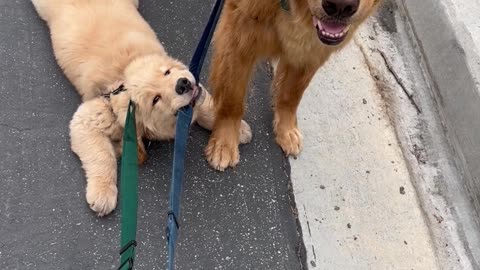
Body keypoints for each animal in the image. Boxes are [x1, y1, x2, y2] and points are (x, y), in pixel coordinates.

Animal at [31, 0, 253, 216]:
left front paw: (235, 130)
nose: (182, 84)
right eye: (156, 99)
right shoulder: (87, 118)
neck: (123, 73)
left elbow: (207, 106)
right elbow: (102, 154)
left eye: (167, 72)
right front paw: (103, 193)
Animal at [206, 0, 382, 170]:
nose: (341, 6)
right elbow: (231, 99)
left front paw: (286, 130)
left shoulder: (311, 49)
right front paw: (224, 143)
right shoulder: (238, 35)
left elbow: (291, 95)